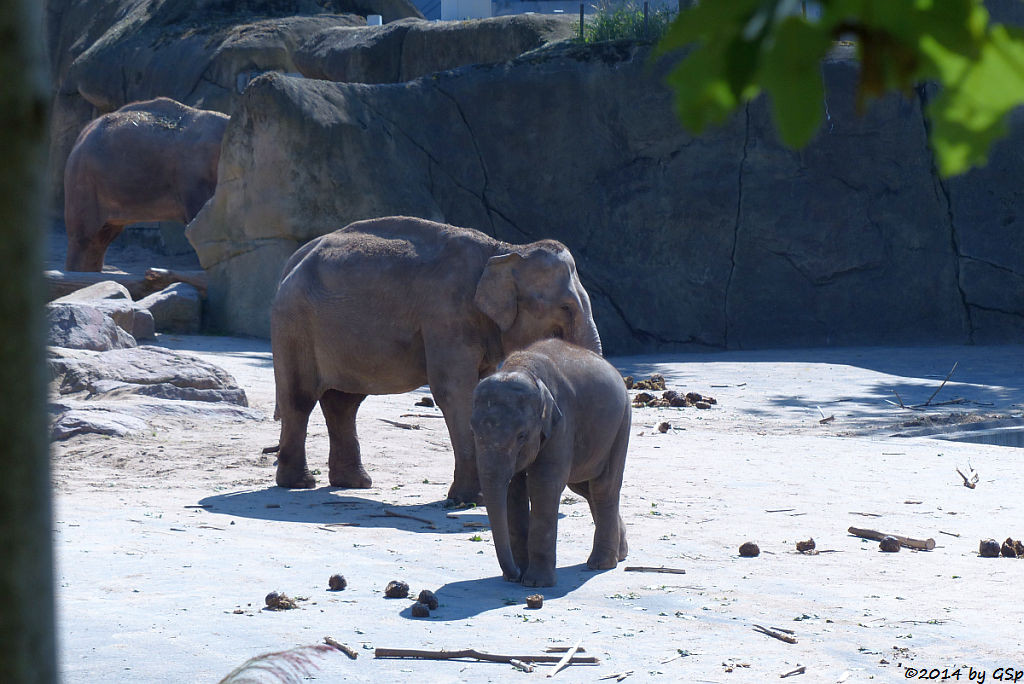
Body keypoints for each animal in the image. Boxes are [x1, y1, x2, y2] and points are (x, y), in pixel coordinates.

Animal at [272, 216, 602, 505]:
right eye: (565, 307)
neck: (505, 250)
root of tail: (291, 262)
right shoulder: (446, 315)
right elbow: (454, 390)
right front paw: (472, 500)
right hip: (296, 325)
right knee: (301, 398)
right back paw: (299, 483)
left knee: (343, 403)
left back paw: (354, 483)